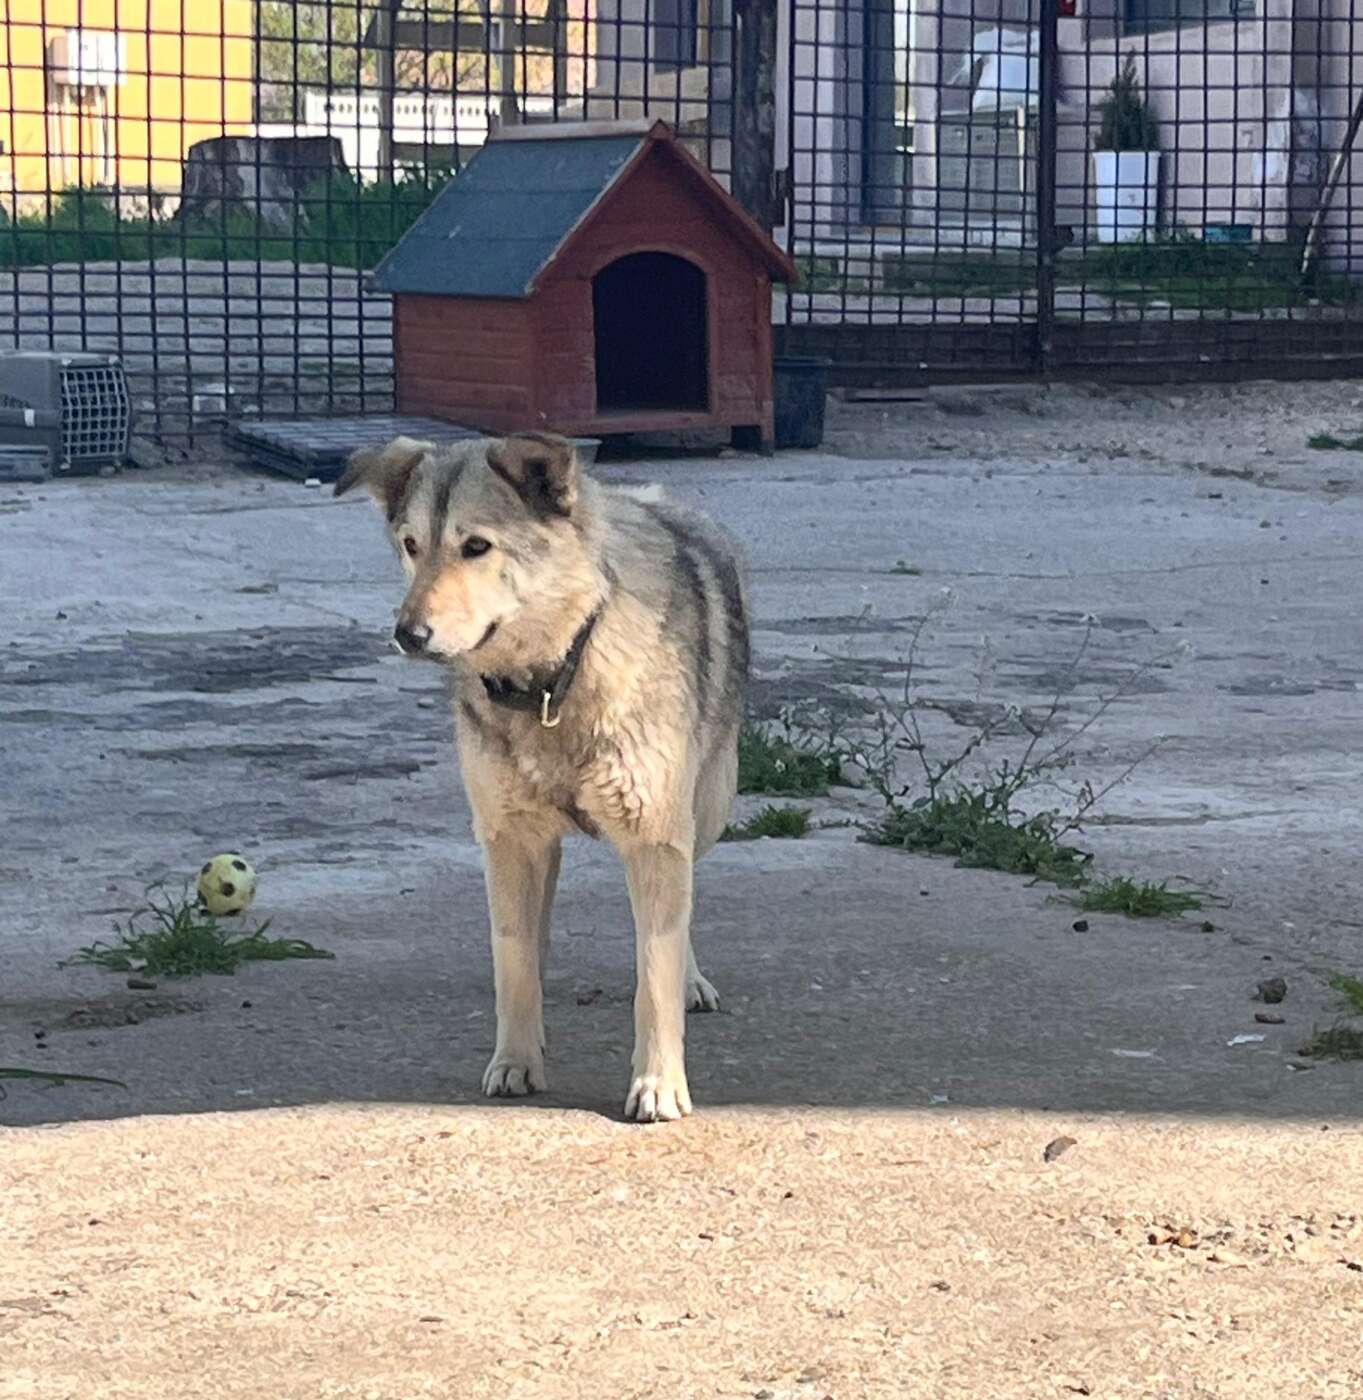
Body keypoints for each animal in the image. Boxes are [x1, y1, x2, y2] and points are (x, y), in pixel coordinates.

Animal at [336, 432, 749, 1122]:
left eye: (477, 547)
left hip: (707, 811)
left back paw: (691, 980)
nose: (407, 634)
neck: (555, 678)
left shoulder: (656, 836)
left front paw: (658, 1082)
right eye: (411, 545)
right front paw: (516, 1060)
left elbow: (655, 971)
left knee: (682, 912)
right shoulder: (507, 838)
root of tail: (652, 496)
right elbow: (514, 957)